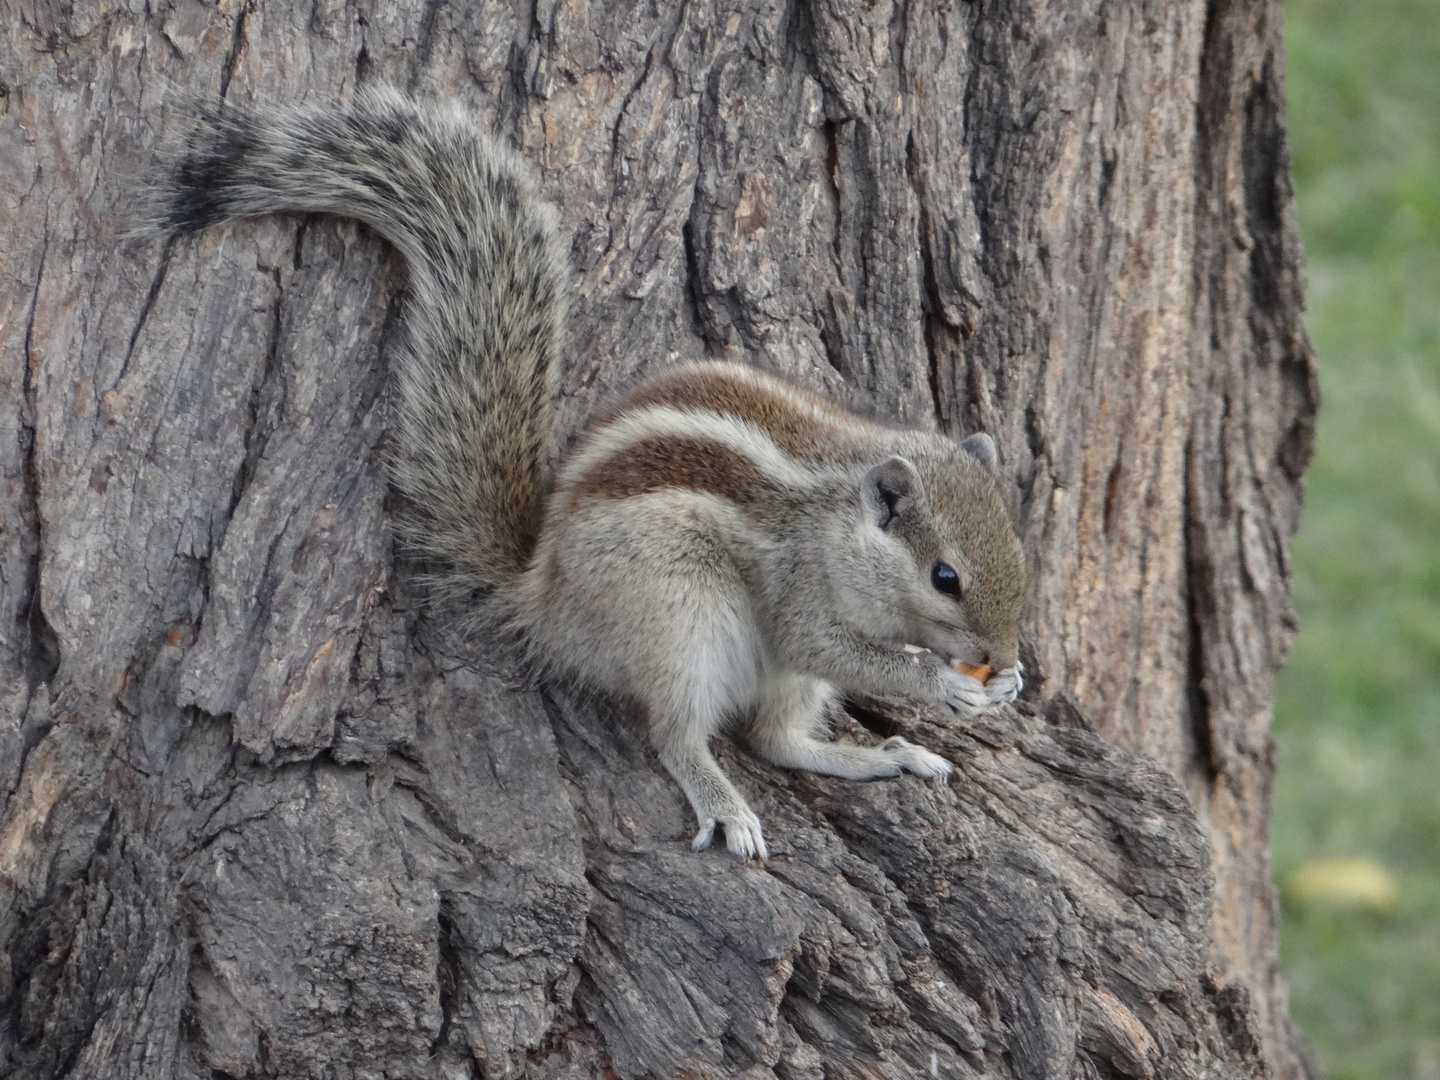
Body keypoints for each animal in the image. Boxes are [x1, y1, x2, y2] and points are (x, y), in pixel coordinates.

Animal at [143, 86, 1025, 864]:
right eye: (946, 577)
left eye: (1019, 557)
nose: (1003, 653)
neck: (842, 520)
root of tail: (548, 594)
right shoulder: (801, 592)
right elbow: (834, 645)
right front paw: (944, 684)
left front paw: (1002, 685)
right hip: (680, 614)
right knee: (678, 734)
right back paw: (726, 803)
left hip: (758, 665)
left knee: (778, 740)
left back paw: (886, 757)